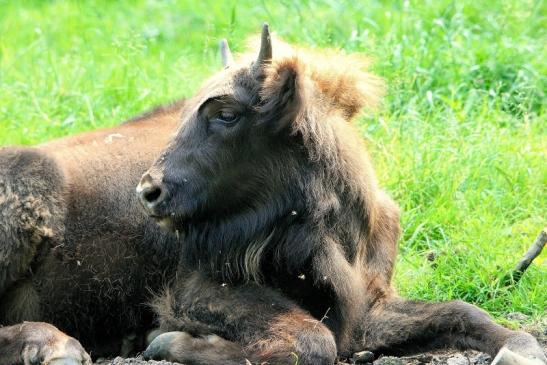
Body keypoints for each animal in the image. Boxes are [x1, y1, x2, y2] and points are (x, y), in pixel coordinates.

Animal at [138, 25, 547, 364]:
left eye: (226, 115)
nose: (149, 190)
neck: (332, 234)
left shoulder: (369, 304)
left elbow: (462, 310)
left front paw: (520, 348)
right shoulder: (200, 290)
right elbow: (315, 341)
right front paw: (164, 340)